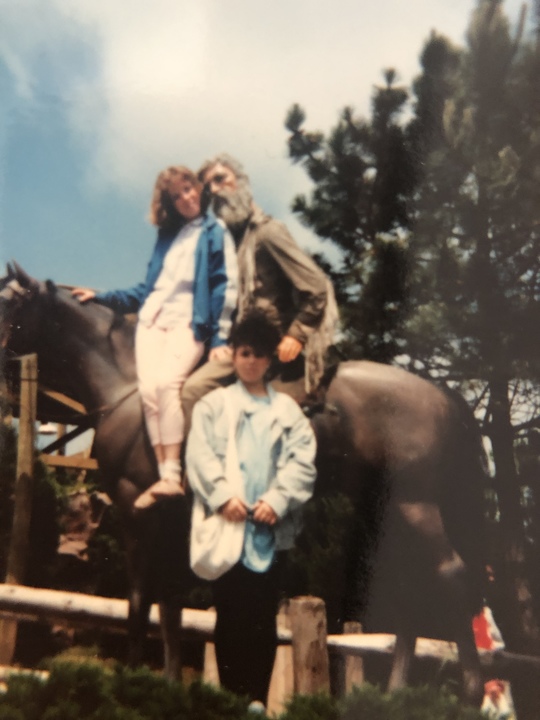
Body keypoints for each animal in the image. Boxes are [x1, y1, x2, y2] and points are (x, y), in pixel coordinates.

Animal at [0, 263, 487, 704]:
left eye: (10, 302)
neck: (132, 390)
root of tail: (443, 396)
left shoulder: (134, 507)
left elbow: (139, 604)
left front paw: (129, 682)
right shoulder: (170, 521)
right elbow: (169, 605)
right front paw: (166, 685)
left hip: (416, 505)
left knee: (451, 575)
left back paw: (471, 691)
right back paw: (395, 694)